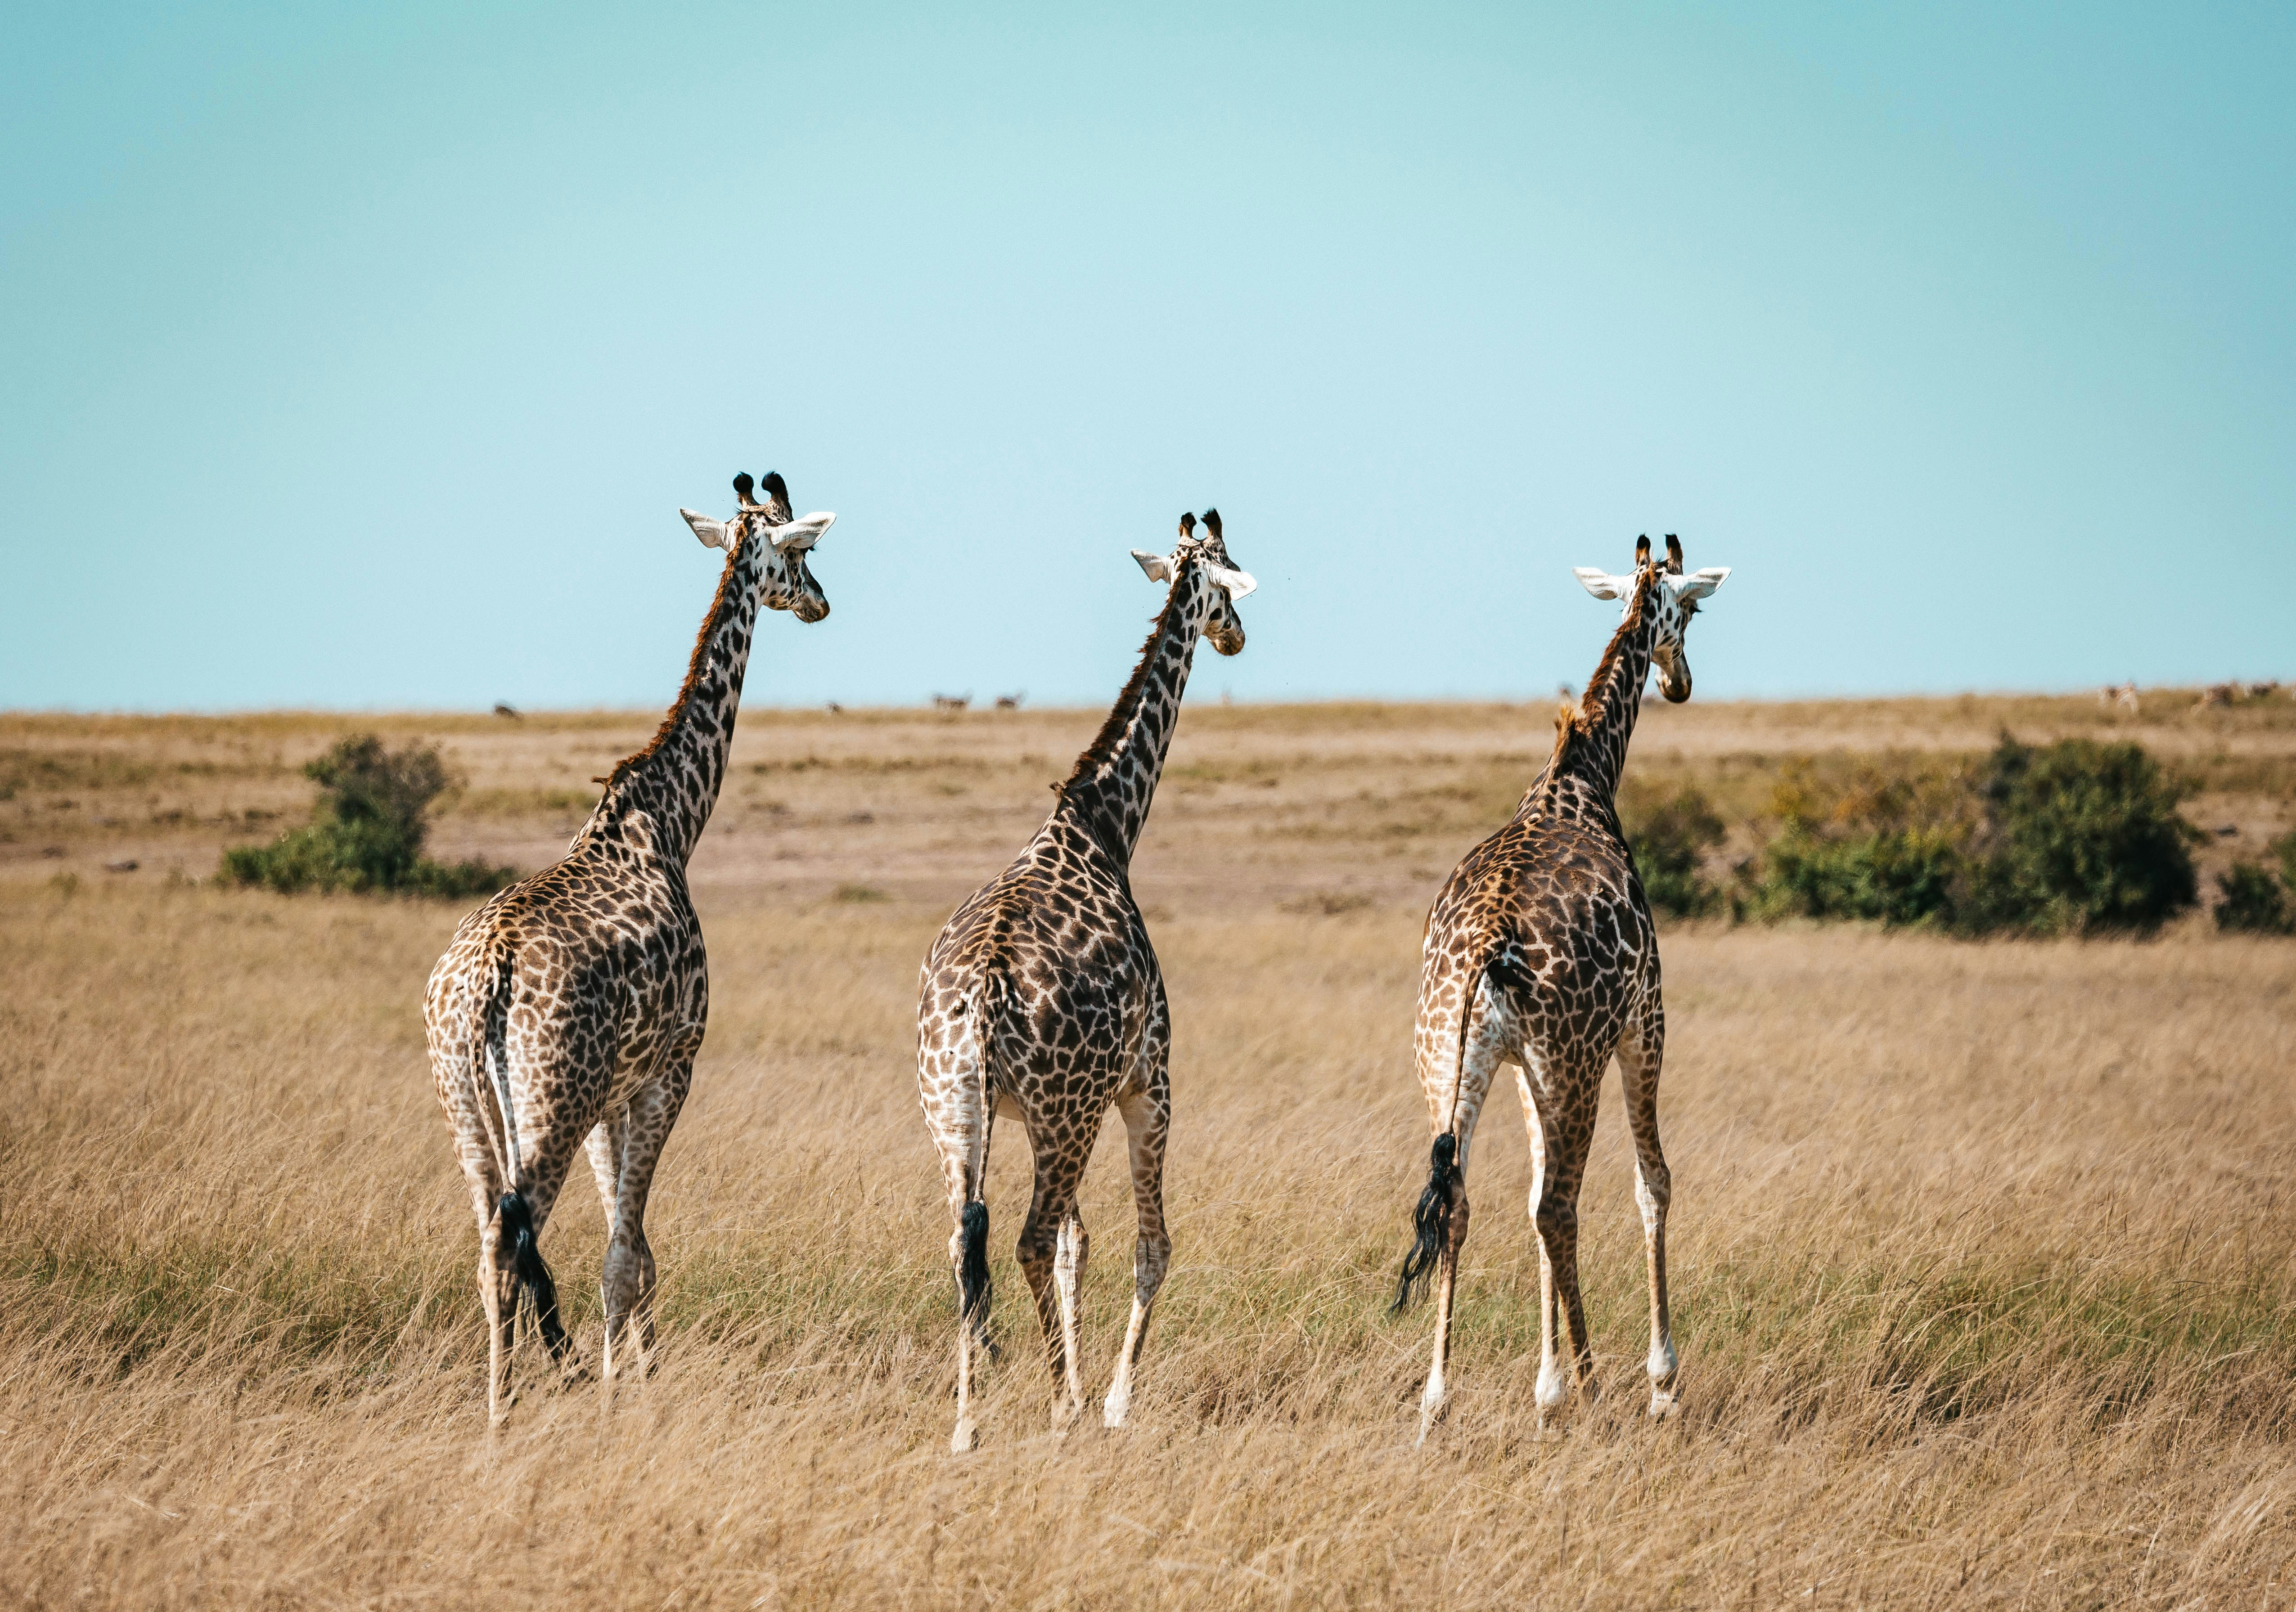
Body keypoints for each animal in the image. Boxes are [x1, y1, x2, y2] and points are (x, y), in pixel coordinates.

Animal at [424, 471, 838, 1426]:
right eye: (802, 550)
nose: (823, 603)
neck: (670, 817)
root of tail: (485, 981)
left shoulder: (615, 1090)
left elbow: (635, 1243)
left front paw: (637, 1371)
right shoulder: (667, 1071)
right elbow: (624, 1252)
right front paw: (624, 1391)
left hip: (468, 1102)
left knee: (487, 1245)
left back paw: (499, 1403)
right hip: (550, 1102)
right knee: (512, 1242)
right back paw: (503, 1414)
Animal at [916, 509, 1255, 1453]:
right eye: (1230, 573)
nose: (1236, 634)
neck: (1105, 825)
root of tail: (982, 1001)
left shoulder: (1058, 1105)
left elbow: (1080, 1247)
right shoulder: (1147, 1081)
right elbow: (1149, 1245)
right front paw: (1110, 1402)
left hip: (959, 1110)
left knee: (966, 1243)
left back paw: (966, 1422)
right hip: (1064, 1112)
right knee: (1028, 1240)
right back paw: (1060, 1407)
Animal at [1393, 533, 1729, 1441]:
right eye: (1691, 610)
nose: (1680, 682)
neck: (1580, 777)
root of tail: (1487, 944)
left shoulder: (1520, 1066)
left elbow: (1528, 1190)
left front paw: (1539, 1382)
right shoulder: (1645, 1021)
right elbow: (1653, 1183)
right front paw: (1659, 1380)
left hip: (1452, 1058)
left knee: (1461, 1200)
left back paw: (1437, 1397)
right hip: (1577, 1057)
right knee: (1560, 1205)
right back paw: (1589, 1383)